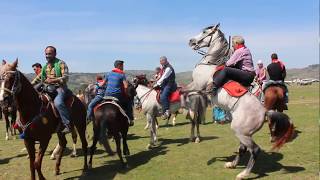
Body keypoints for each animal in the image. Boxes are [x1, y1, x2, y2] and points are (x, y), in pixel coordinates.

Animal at [186, 23, 294, 179]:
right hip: (244, 133)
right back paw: (232, 164)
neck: (209, 64)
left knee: (254, 150)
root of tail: (265, 112)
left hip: (240, 131)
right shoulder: (196, 85)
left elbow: (186, 91)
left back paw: (243, 173)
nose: (191, 41)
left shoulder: (198, 85)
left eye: (205, 31)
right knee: (243, 148)